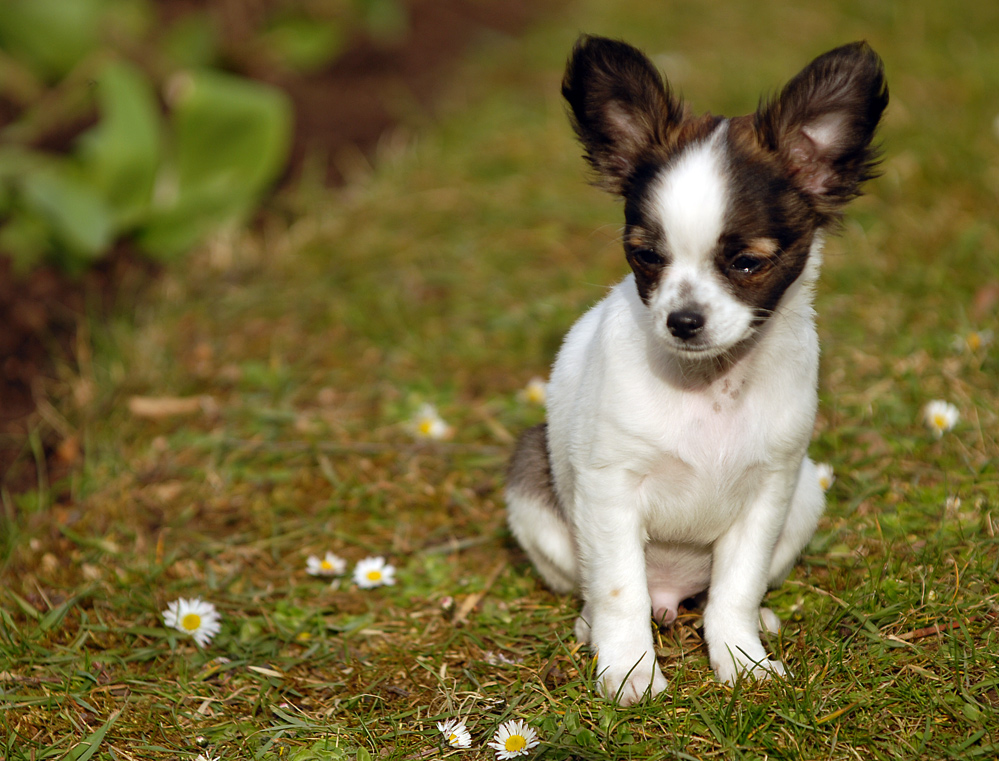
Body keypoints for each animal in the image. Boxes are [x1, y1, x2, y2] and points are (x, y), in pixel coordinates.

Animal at [508, 32, 892, 704]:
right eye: (645, 257)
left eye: (746, 263)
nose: (681, 320)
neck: (709, 385)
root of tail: (672, 594)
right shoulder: (609, 492)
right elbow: (620, 593)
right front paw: (628, 672)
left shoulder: (769, 491)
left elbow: (736, 588)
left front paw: (741, 659)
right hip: (532, 490)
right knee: (609, 592)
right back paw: (593, 627)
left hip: (806, 496)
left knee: (714, 594)